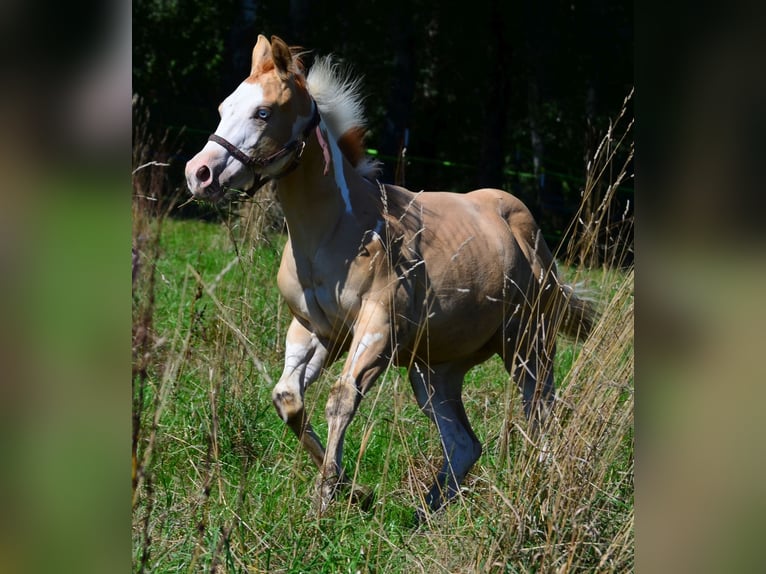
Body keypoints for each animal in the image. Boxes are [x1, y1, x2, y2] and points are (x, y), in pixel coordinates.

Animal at [185, 35, 596, 517]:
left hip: (527, 345)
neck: (334, 231)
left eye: (263, 112)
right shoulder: (314, 331)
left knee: (542, 415)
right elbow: (287, 398)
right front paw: (354, 490)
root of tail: (530, 235)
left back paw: (540, 491)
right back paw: (424, 514)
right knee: (464, 445)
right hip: (434, 371)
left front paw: (326, 498)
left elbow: (341, 398)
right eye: (223, 107)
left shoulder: (377, 328)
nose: (199, 173)